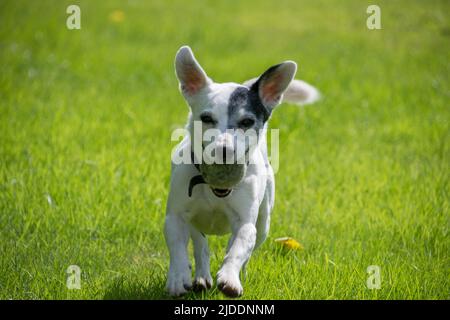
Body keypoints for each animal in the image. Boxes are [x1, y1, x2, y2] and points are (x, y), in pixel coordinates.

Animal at [163, 45, 318, 298]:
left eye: (247, 122)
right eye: (206, 118)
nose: (224, 150)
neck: (213, 188)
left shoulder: (245, 223)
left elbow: (237, 249)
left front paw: (229, 278)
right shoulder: (176, 216)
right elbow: (177, 247)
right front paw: (178, 277)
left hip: (264, 222)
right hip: (197, 223)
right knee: (200, 245)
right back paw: (202, 276)